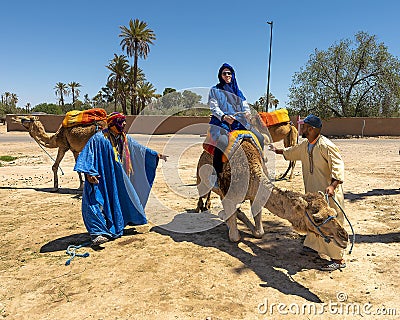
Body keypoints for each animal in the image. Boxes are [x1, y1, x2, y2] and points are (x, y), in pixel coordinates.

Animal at [195, 139, 348, 249]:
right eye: (317, 219)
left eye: (334, 212)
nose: (344, 237)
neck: (251, 174)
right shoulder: (228, 195)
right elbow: (234, 237)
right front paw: (225, 216)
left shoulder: (255, 195)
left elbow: (259, 232)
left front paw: (238, 214)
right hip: (200, 174)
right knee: (202, 191)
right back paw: (200, 208)